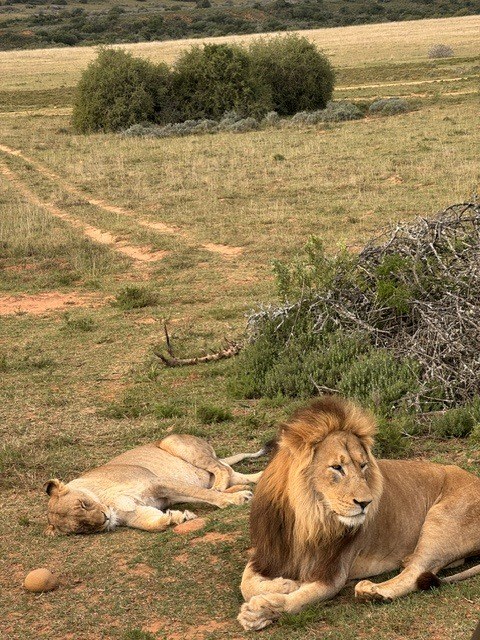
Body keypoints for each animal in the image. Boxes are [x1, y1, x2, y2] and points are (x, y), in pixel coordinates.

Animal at [45, 434, 266, 535]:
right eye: (82, 527)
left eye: (83, 504)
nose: (105, 519)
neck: (107, 501)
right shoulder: (134, 513)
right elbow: (153, 524)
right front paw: (177, 517)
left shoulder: (159, 482)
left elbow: (204, 494)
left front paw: (235, 499)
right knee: (239, 476)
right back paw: (246, 485)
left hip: (171, 442)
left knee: (221, 470)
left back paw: (224, 488)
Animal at [238, 396, 480, 631]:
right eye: (337, 467)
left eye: (363, 465)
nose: (366, 503)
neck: (308, 519)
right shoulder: (268, 553)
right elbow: (245, 583)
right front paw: (283, 583)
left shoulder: (333, 573)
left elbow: (299, 600)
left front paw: (263, 608)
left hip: (441, 521)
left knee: (416, 572)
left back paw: (372, 591)